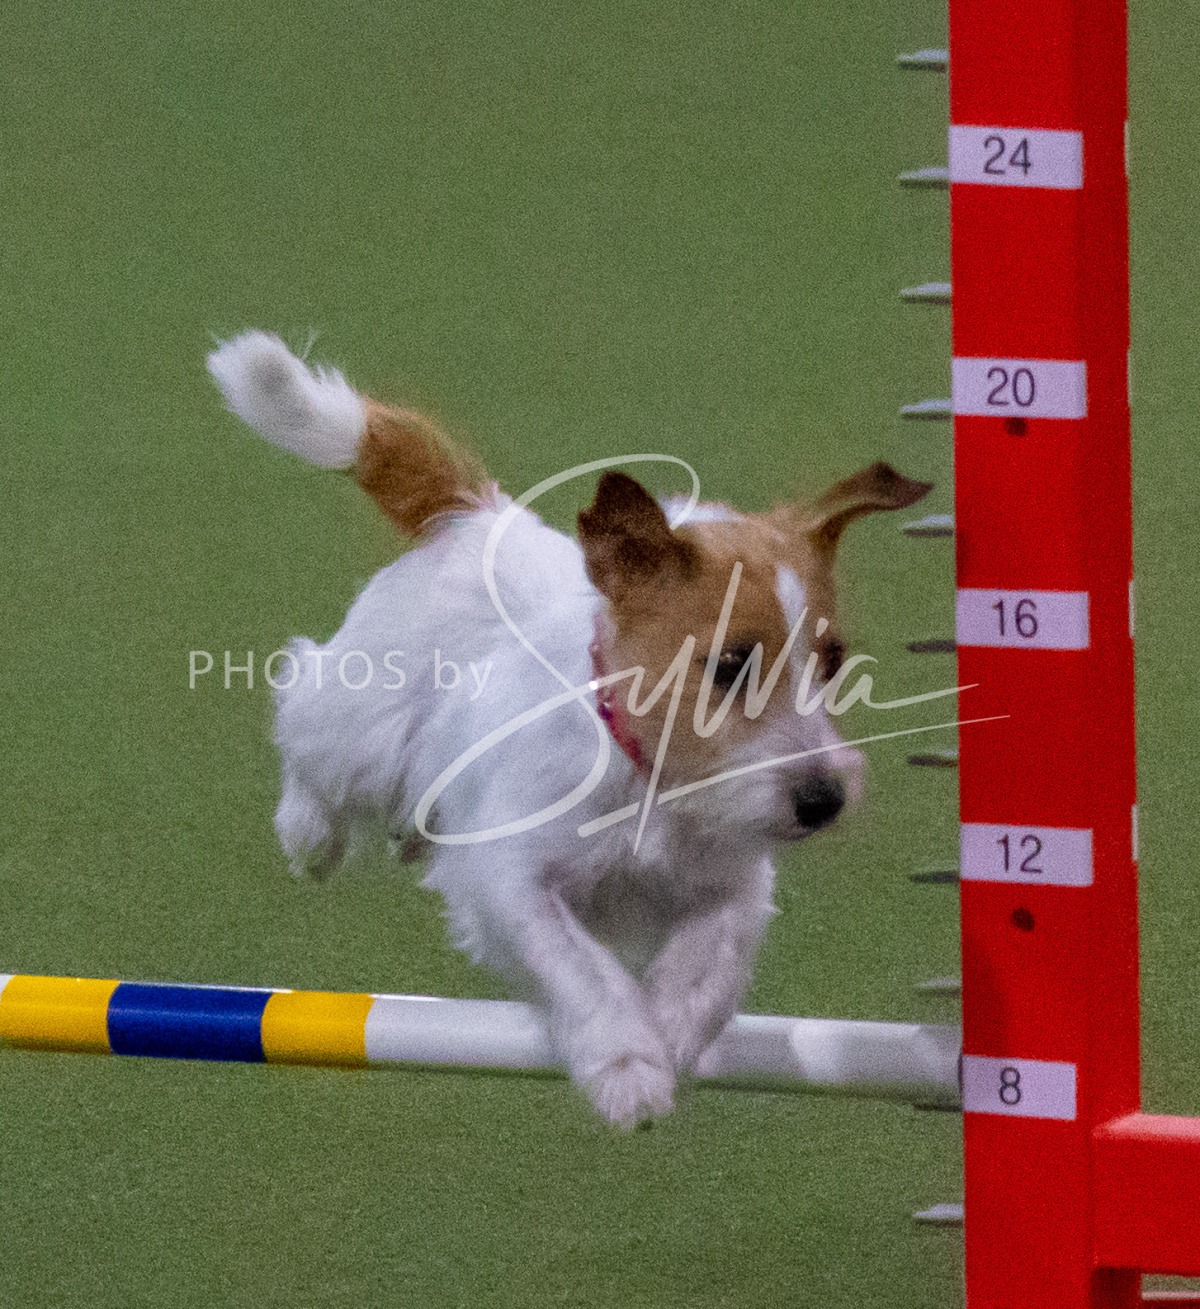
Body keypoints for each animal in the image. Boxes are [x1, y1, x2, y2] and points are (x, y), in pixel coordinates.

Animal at [207, 331, 930, 1127]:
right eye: (731, 664)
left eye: (833, 661)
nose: (823, 800)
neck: (647, 779)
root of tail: (475, 515)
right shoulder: (515, 880)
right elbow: (586, 973)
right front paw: (629, 1064)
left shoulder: (736, 882)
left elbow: (711, 962)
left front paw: (671, 1034)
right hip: (356, 728)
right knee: (301, 708)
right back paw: (308, 833)